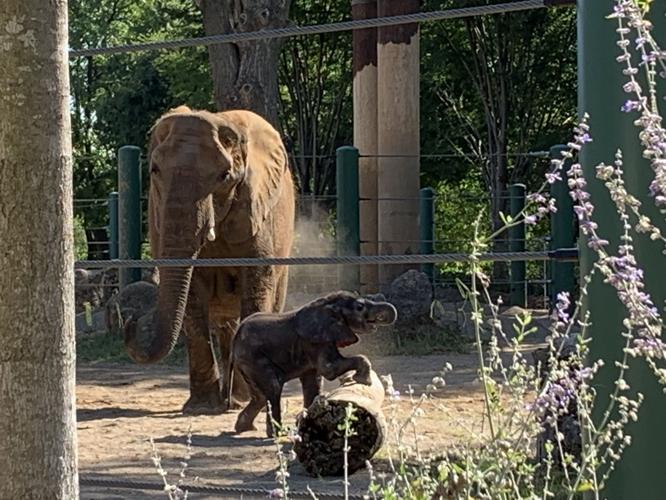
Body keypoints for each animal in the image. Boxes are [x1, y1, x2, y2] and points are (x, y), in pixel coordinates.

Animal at [124, 105, 295, 415]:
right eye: (154, 170)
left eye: (224, 176)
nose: (129, 320)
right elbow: (192, 294)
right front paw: (201, 407)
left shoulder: (257, 211)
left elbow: (255, 287)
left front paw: (249, 400)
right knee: (226, 325)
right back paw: (231, 399)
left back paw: (237, 400)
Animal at [230, 291, 398, 437]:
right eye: (360, 307)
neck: (330, 305)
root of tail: (235, 336)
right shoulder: (316, 340)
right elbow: (329, 369)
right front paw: (364, 381)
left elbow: (314, 382)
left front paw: (306, 423)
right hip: (252, 357)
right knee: (273, 387)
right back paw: (278, 433)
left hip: (247, 362)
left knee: (259, 396)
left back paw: (244, 429)